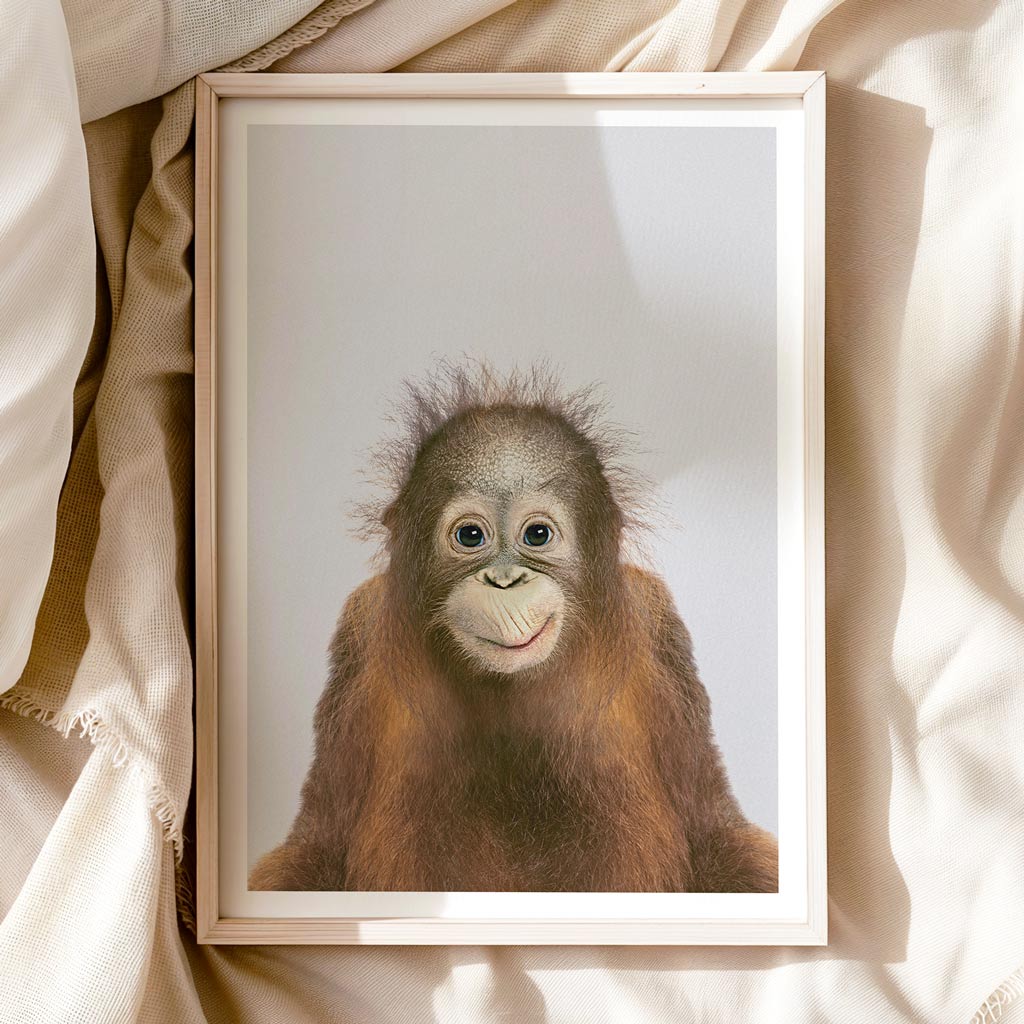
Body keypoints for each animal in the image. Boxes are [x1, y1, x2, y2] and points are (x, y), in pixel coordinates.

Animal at [249, 364, 778, 893]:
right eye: (470, 536)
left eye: (537, 534)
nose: (504, 580)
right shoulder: (359, 627)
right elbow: (318, 847)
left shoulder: (658, 621)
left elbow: (714, 837)